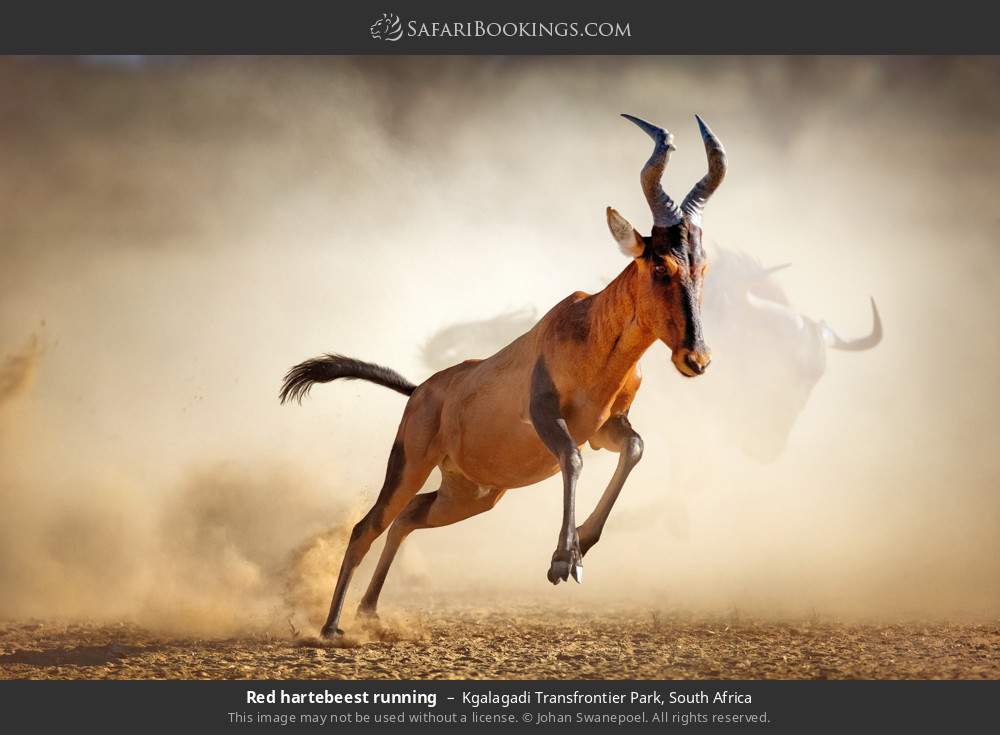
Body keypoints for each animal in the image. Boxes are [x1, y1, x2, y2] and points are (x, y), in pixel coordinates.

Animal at [282, 112, 728, 636]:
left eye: (702, 265)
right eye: (660, 265)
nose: (697, 358)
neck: (589, 329)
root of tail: (420, 390)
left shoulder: (606, 430)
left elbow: (635, 448)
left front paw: (581, 543)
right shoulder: (546, 417)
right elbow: (572, 460)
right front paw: (564, 560)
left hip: (472, 495)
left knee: (409, 516)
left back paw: (369, 611)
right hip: (411, 463)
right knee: (367, 525)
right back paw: (332, 628)